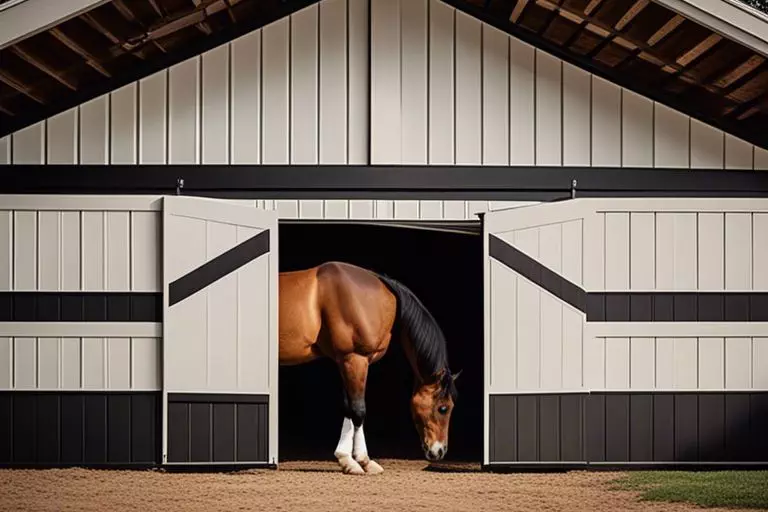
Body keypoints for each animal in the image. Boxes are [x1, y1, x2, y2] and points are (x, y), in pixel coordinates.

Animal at [278, 262, 462, 474]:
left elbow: (348, 407)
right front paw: (362, 460)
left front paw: (346, 459)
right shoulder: (355, 358)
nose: (439, 451)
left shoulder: (345, 361)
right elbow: (359, 410)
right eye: (443, 408)